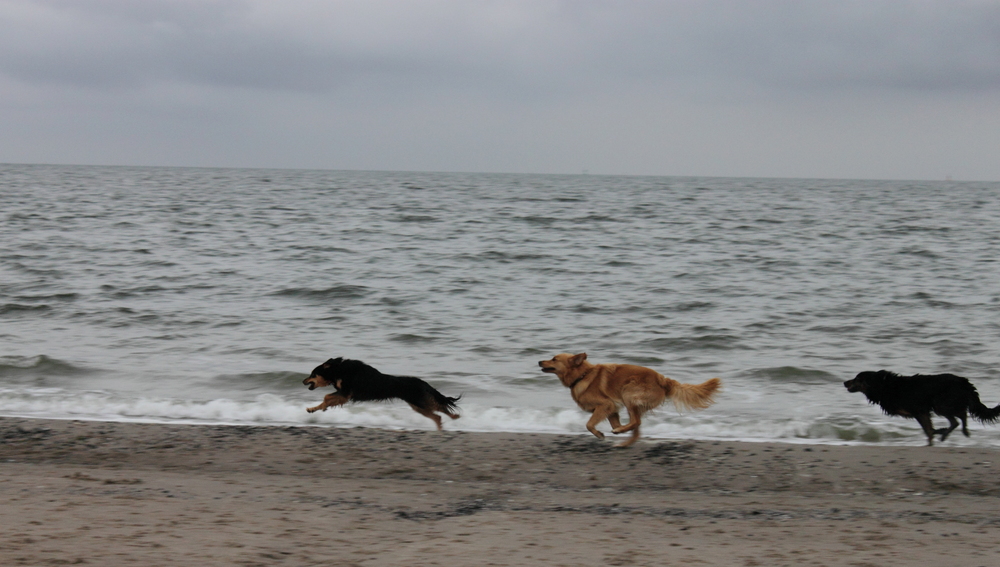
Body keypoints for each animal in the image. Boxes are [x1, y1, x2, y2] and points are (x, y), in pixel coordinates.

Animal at [302, 358, 462, 432]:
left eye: (312, 374)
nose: (303, 381)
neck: (337, 370)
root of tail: (423, 382)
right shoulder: (344, 394)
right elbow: (327, 399)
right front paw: (314, 409)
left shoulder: (345, 393)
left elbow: (327, 397)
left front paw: (319, 407)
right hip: (418, 405)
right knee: (438, 413)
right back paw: (446, 424)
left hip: (419, 402)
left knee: (439, 409)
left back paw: (451, 420)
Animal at [540, 350, 720, 448]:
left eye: (554, 359)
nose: (539, 361)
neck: (582, 375)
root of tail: (662, 379)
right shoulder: (611, 409)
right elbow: (611, 422)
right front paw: (614, 430)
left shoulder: (605, 404)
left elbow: (589, 424)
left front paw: (600, 434)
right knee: (637, 427)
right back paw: (623, 441)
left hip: (628, 393)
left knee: (636, 422)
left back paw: (620, 433)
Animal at [844, 370, 1000, 446]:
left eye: (857, 378)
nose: (845, 382)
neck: (883, 386)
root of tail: (965, 382)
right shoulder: (922, 412)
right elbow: (928, 430)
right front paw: (932, 440)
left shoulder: (918, 411)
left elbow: (928, 429)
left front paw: (935, 434)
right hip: (941, 405)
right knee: (956, 419)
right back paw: (947, 434)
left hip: (940, 404)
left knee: (960, 416)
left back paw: (960, 431)